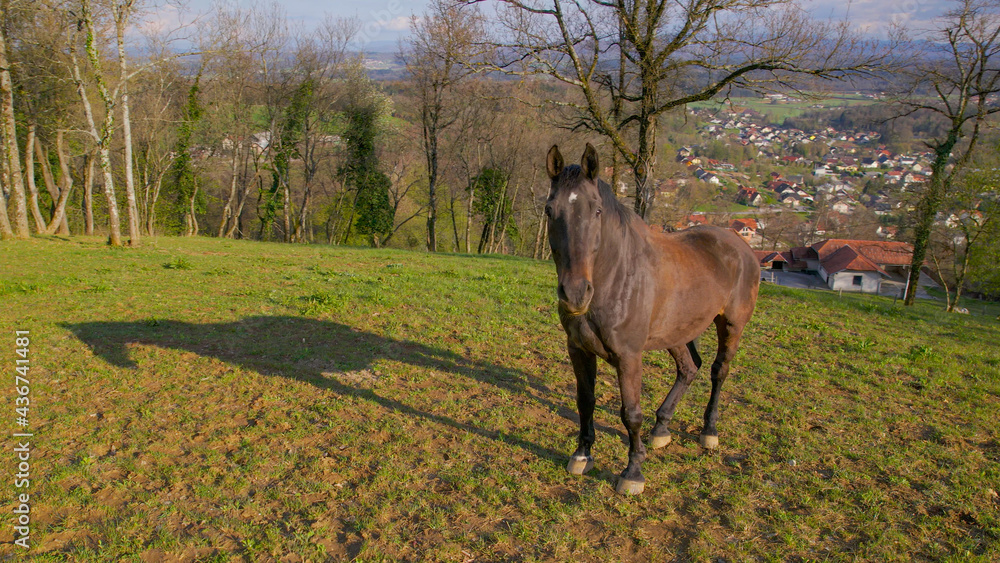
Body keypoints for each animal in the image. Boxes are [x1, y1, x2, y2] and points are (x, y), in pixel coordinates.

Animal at [548, 144, 756, 494]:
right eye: (550, 211)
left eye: (597, 211)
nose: (575, 294)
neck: (616, 276)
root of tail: (739, 244)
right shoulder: (578, 349)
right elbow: (585, 401)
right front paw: (582, 455)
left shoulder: (629, 356)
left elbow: (631, 413)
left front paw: (633, 473)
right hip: (676, 332)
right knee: (688, 368)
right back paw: (661, 430)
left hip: (731, 325)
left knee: (719, 371)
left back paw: (708, 432)